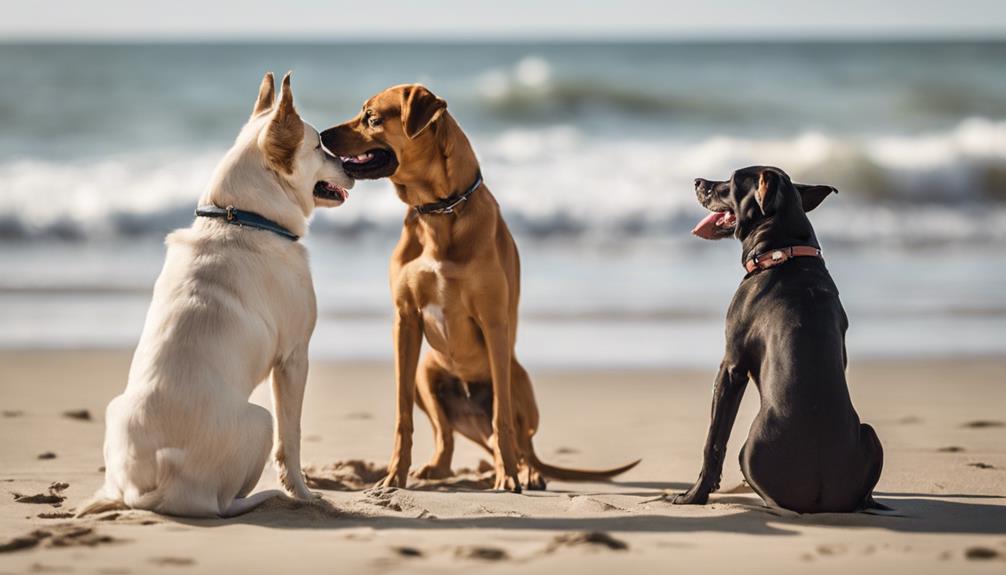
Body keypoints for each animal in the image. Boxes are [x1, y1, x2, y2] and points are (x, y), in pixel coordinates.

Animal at [78, 71, 354, 514]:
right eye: (318, 146)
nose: (351, 167)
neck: (243, 218)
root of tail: (158, 489)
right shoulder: (294, 358)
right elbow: (291, 441)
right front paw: (303, 492)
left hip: (114, 410)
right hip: (260, 420)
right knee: (224, 502)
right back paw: (265, 496)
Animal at [321, 84, 635, 490]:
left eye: (371, 117)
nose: (322, 135)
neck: (440, 210)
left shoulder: (493, 322)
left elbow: (502, 419)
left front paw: (509, 476)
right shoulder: (405, 320)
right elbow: (403, 415)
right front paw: (394, 474)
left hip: (518, 379)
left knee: (519, 439)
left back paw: (524, 471)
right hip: (427, 372)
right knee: (446, 433)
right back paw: (438, 468)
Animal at [676, 164, 881, 512]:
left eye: (732, 181)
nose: (698, 181)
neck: (784, 252)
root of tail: (819, 496)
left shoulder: (731, 367)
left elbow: (714, 440)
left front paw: (696, 494)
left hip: (748, 451)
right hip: (870, 435)